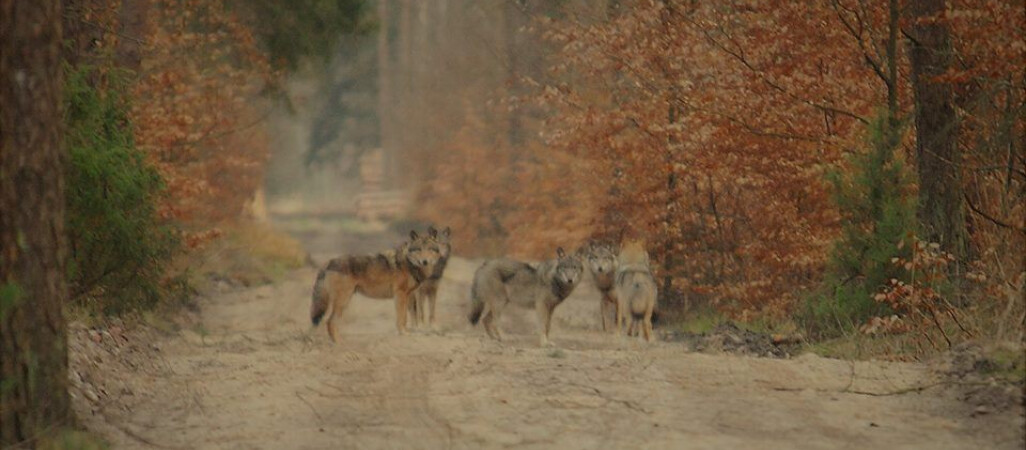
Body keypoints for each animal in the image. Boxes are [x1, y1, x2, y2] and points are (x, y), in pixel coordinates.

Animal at [307, 228, 445, 342]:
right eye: (419, 249)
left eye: (429, 249)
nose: (424, 262)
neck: (409, 264)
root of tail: (329, 262)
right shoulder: (400, 295)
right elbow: (401, 317)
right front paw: (403, 333)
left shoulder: (408, 296)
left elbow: (408, 317)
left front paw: (407, 332)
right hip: (343, 301)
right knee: (330, 322)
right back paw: (339, 342)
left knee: (329, 322)